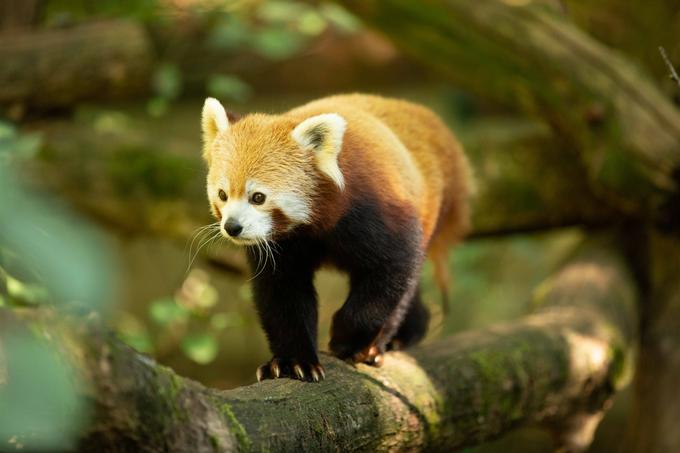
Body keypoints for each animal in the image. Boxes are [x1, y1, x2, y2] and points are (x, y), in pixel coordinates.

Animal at [199, 92, 470, 382]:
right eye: (223, 195)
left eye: (258, 197)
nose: (232, 227)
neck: (313, 226)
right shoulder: (282, 246)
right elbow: (283, 296)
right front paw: (293, 361)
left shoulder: (374, 211)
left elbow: (390, 272)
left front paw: (346, 338)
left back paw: (384, 343)